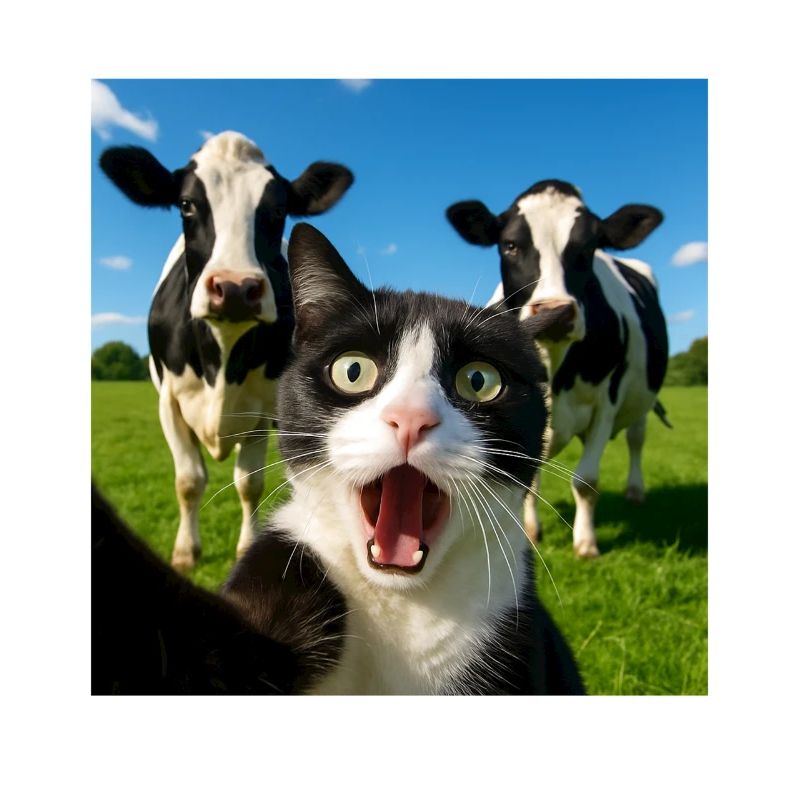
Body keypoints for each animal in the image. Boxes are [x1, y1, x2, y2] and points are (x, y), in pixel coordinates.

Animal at [99, 131, 354, 570]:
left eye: (278, 209)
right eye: (186, 204)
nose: (235, 288)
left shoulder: (263, 410)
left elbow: (249, 484)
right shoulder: (168, 402)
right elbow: (188, 481)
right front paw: (186, 553)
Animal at [446, 179, 669, 558]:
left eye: (589, 247)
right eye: (510, 245)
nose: (555, 311)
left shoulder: (605, 405)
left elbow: (586, 481)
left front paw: (586, 543)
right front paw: (530, 532)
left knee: (636, 438)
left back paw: (635, 491)